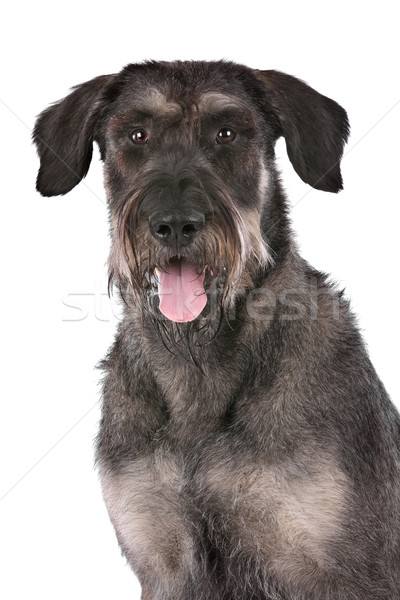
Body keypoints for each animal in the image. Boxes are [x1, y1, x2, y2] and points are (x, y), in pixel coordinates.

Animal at [34, 62, 400, 600]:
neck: (199, 369)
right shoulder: (163, 563)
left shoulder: (343, 572)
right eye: (136, 135)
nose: (175, 224)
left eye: (226, 133)